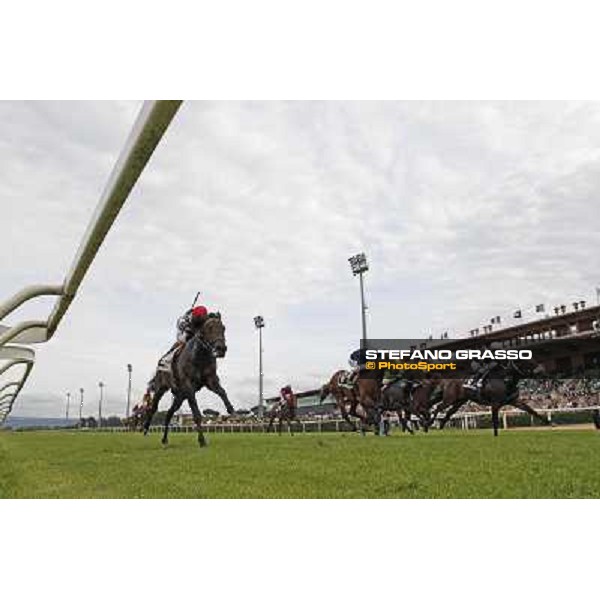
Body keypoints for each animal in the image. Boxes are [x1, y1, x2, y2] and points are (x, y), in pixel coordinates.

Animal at [142, 304, 233, 446]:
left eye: (223, 328)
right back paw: (146, 428)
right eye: (209, 328)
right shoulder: (188, 385)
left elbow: (222, 391)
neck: (200, 356)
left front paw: (231, 409)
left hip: (180, 395)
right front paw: (202, 440)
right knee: (153, 407)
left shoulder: (210, 380)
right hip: (161, 388)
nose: (221, 348)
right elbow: (196, 413)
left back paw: (164, 439)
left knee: (169, 413)